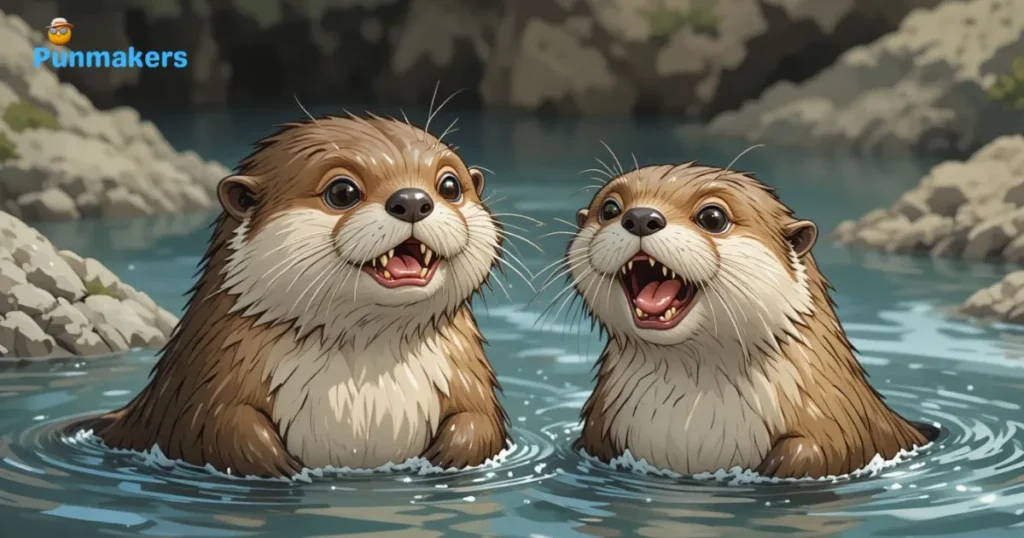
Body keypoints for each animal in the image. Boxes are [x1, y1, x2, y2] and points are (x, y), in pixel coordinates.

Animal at [94, 114, 509, 477]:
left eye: (450, 186)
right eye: (342, 192)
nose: (411, 200)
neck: (365, 382)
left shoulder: (466, 372)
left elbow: (480, 422)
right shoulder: (209, 380)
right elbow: (222, 426)